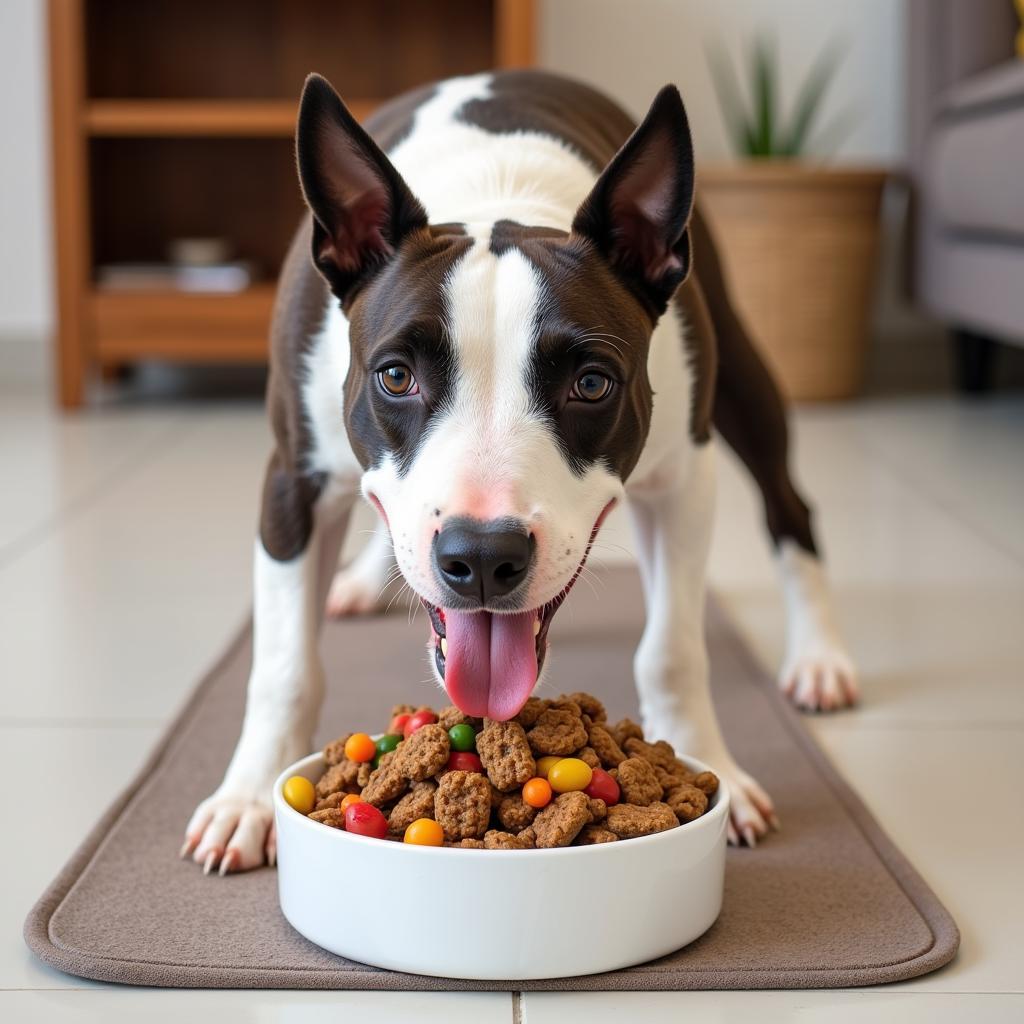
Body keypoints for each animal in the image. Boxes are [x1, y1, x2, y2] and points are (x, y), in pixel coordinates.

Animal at [182, 70, 856, 872]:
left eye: (591, 384)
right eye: (396, 377)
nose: (480, 557)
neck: (495, 193)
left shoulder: (684, 484)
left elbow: (672, 651)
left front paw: (708, 763)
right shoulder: (293, 482)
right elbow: (284, 666)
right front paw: (250, 796)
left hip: (741, 381)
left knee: (792, 510)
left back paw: (818, 656)